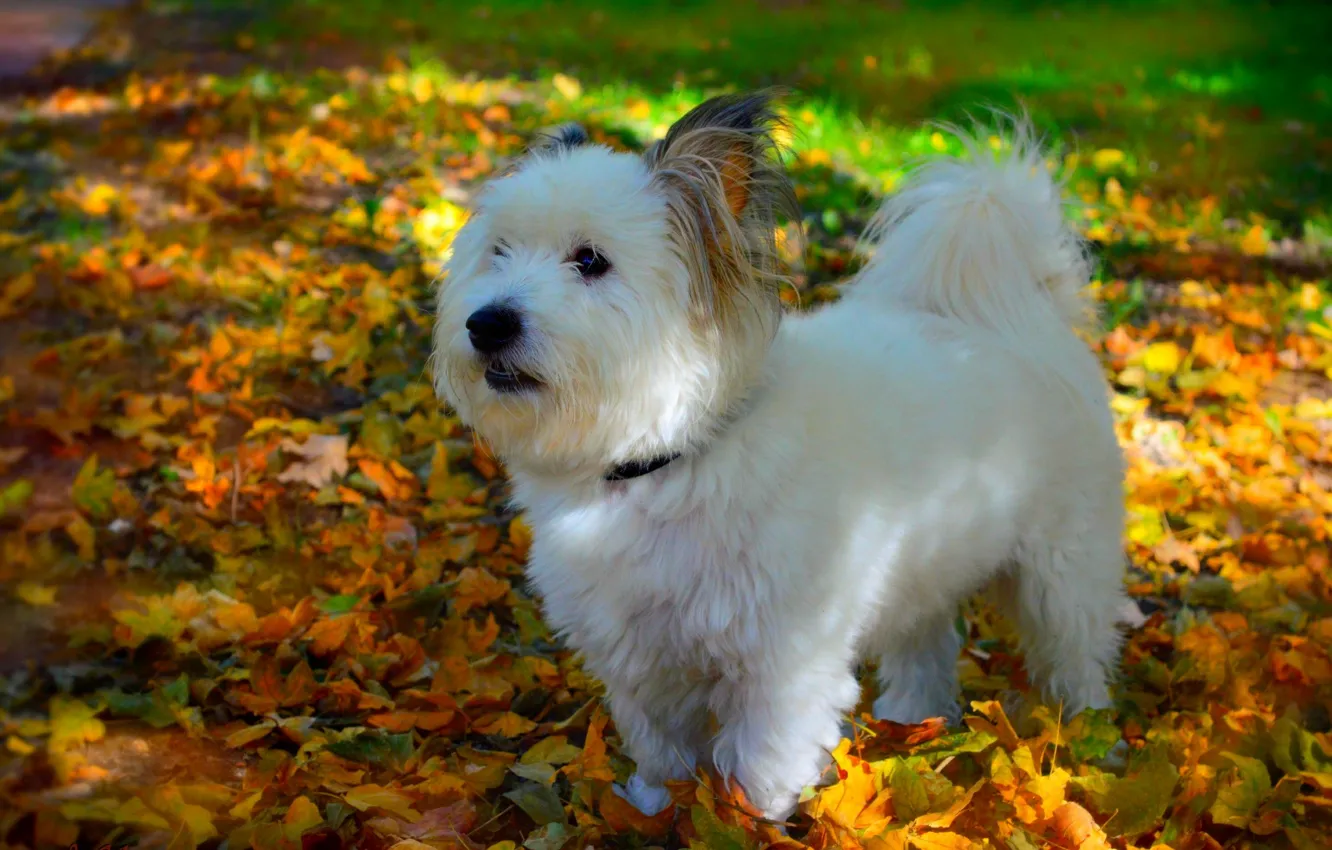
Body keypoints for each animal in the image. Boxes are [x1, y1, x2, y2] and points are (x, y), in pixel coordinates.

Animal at [434, 91, 1124, 820]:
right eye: (499, 252)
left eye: (590, 260)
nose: (487, 323)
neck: (670, 458)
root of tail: (1027, 316)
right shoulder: (643, 662)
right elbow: (662, 754)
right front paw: (652, 811)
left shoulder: (782, 669)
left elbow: (758, 771)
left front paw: (750, 823)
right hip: (927, 568)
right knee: (926, 650)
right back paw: (914, 724)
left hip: (1062, 579)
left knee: (1077, 659)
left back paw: (1091, 746)